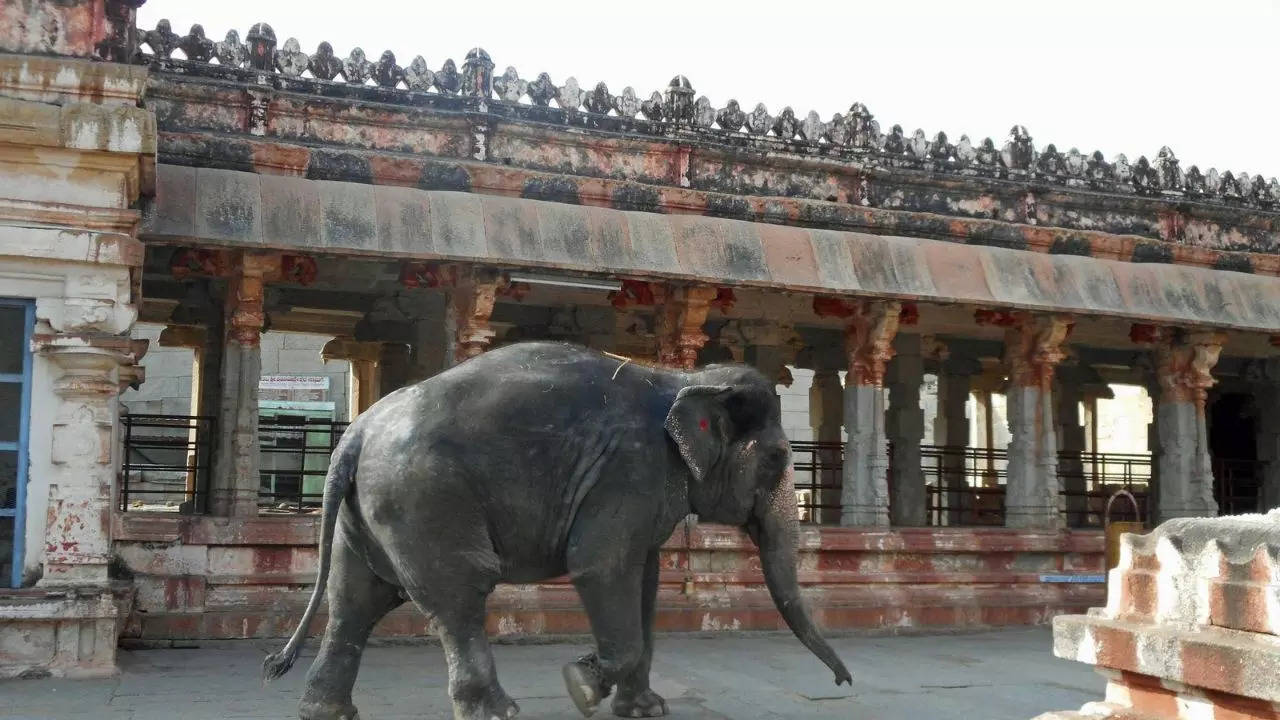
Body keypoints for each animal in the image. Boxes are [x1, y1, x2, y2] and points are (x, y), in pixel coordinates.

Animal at [262, 340, 849, 717]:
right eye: (775, 460)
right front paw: (581, 687)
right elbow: (600, 568)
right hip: (423, 499)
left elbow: (643, 582)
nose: (844, 681)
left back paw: (325, 712)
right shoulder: (629, 469)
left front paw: (645, 710)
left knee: (354, 598)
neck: (686, 380)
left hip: (368, 511)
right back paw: (498, 712)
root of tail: (356, 433)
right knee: (457, 594)